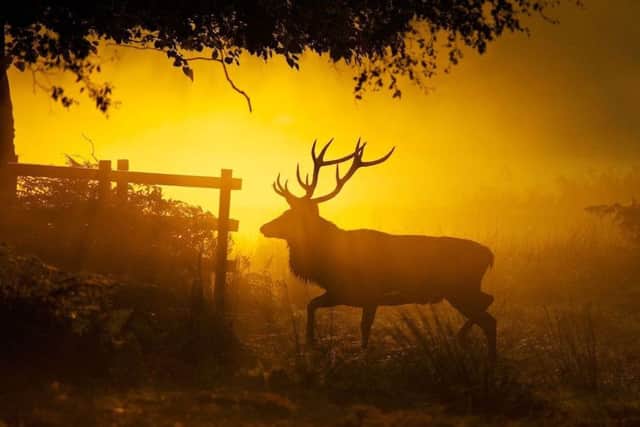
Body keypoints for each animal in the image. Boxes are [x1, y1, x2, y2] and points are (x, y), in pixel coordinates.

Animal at [260, 139, 497, 362]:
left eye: (290, 215)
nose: (263, 227)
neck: (327, 262)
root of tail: (489, 255)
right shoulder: (342, 293)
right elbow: (311, 305)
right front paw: (311, 342)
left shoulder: (369, 294)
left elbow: (364, 327)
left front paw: (361, 356)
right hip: (462, 290)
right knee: (488, 313)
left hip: (461, 288)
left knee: (489, 310)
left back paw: (466, 341)